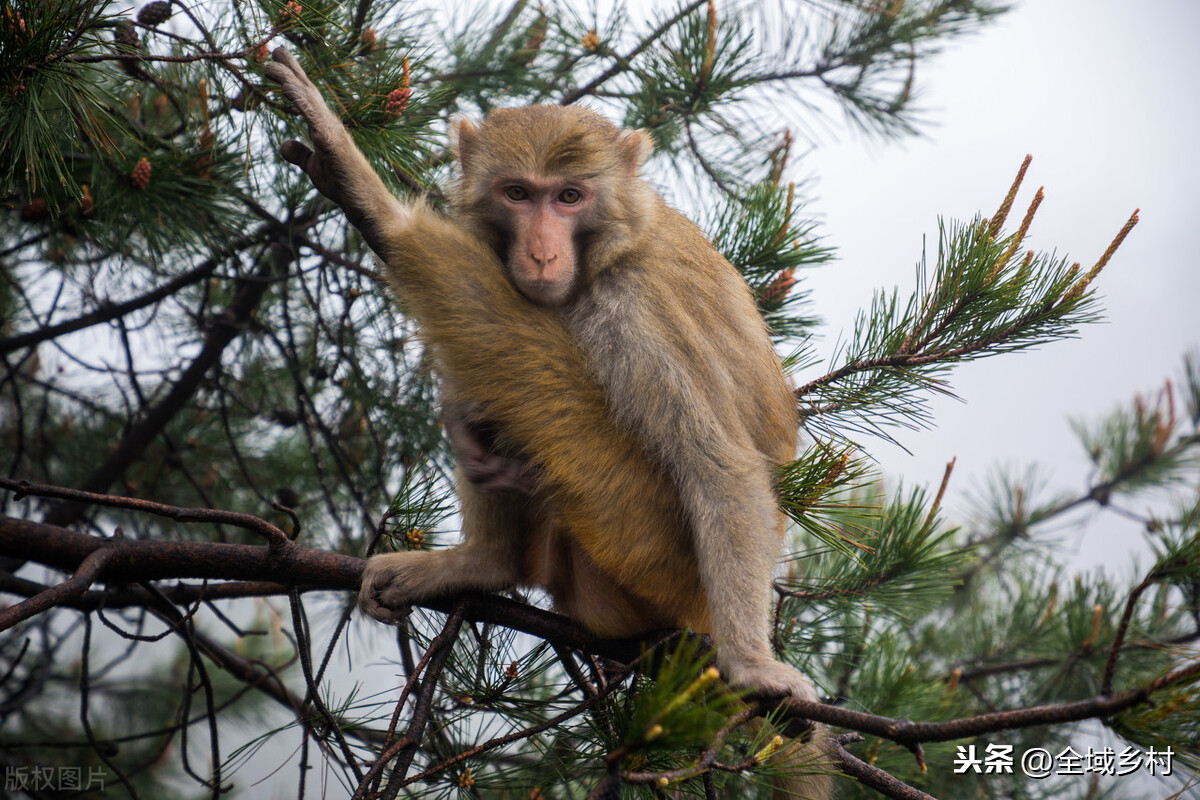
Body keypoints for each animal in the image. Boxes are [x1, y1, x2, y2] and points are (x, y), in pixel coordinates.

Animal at [262, 50, 830, 796]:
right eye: (517, 194)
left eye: (569, 198)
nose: (539, 253)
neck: (607, 255)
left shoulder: (636, 313)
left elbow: (718, 465)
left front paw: (753, 667)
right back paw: (485, 560)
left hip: (644, 557)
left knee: (516, 351)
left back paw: (386, 220)